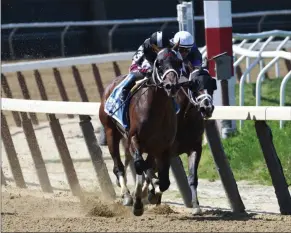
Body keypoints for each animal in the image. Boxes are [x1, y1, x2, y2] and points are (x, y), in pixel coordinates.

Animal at [98, 42, 185, 216]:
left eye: (179, 62)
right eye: (159, 63)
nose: (171, 86)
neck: (156, 109)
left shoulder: (163, 146)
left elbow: (163, 180)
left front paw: (151, 193)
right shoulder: (134, 139)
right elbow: (140, 166)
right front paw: (139, 201)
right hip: (111, 133)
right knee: (119, 166)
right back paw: (126, 195)